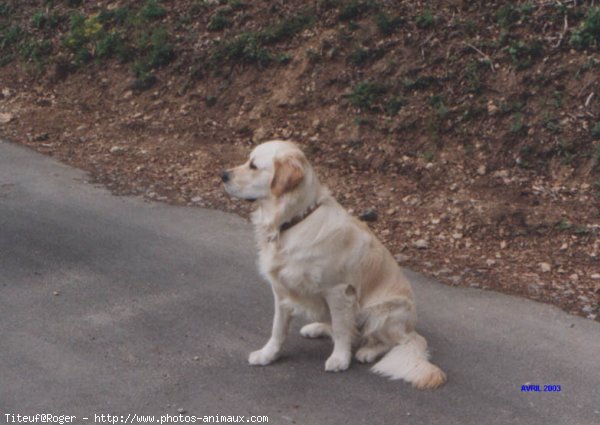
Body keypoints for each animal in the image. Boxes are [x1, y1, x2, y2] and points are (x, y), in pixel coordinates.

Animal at [220, 139, 446, 388]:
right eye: (247, 161)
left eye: (253, 166)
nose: (223, 175)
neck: (295, 221)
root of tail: (411, 328)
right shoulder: (281, 289)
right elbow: (278, 328)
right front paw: (267, 355)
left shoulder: (338, 290)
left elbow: (340, 330)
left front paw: (340, 359)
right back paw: (316, 328)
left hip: (382, 312)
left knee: (389, 340)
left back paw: (368, 351)